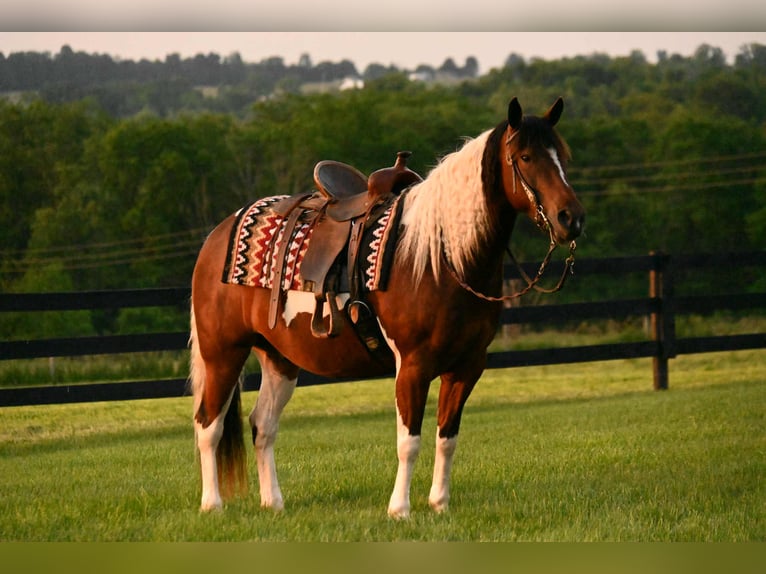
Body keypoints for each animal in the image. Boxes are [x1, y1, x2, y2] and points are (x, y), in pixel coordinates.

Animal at [189, 96, 585, 518]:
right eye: (525, 156)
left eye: (563, 155)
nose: (571, 218)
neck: (438, 256)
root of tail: (218, 235)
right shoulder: (412, 365)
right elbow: (409, 441)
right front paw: (400, 509)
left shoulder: (467, 366)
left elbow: (447, 437)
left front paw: (439, 504)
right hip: (223, 353)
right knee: (208, 425)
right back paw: (212, 504)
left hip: (279, 359)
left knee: (262, 426)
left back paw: (273, 503)